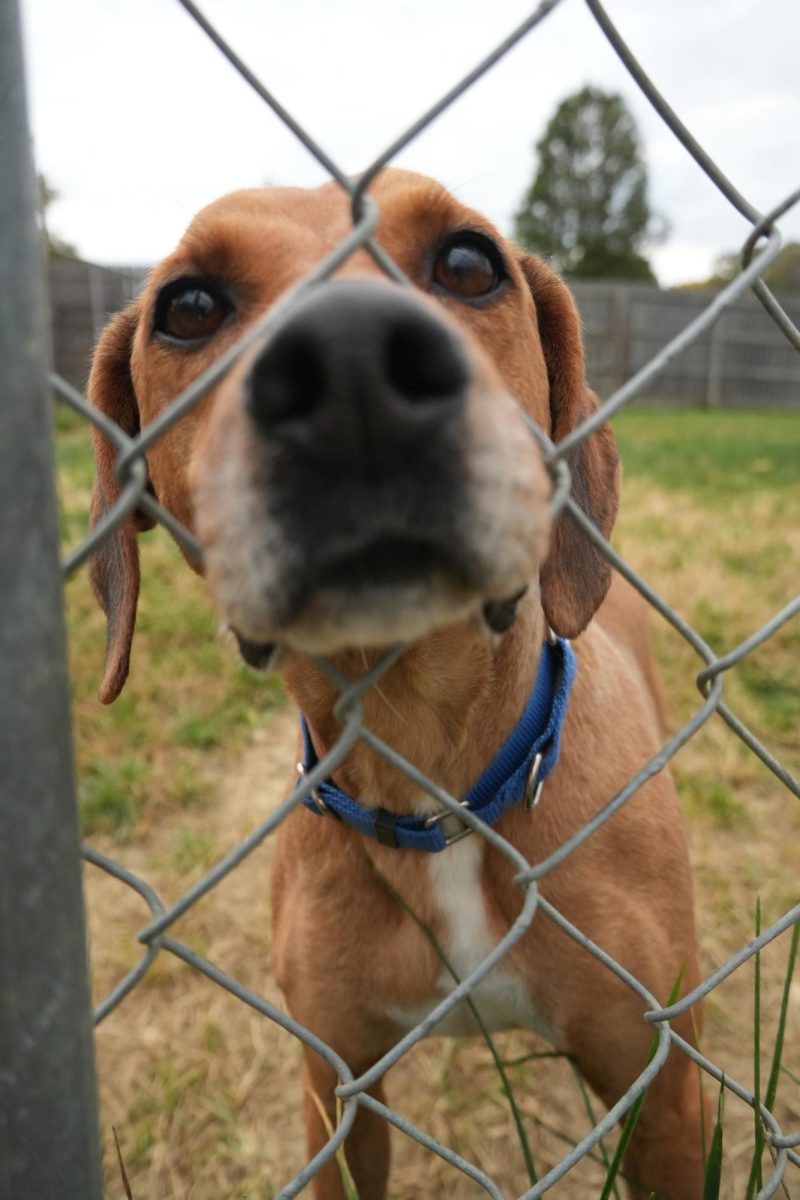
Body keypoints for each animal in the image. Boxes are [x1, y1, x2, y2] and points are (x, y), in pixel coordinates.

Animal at [87, 171, 705, 1200]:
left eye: (468, 261)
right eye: (189, 307)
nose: (351, 368)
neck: (432, 783)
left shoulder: (659, 1089)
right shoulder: (339, 1087)